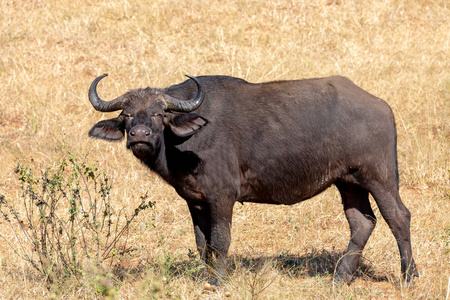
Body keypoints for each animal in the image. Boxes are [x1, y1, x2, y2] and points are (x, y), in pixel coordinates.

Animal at [87, 74, 418, 284]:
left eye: (159, 113)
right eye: (127, 114)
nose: (139, 136)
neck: (186, 143)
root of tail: (381, 106)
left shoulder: (222, 197)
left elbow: (221, 240)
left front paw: (218, 282)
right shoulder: (194, 201)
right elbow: (202, 243)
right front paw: (206, 277)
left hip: (379, 176)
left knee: (398, 217)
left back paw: (408, 276)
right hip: (348, 182)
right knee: (362, 222)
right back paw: (340, 277)